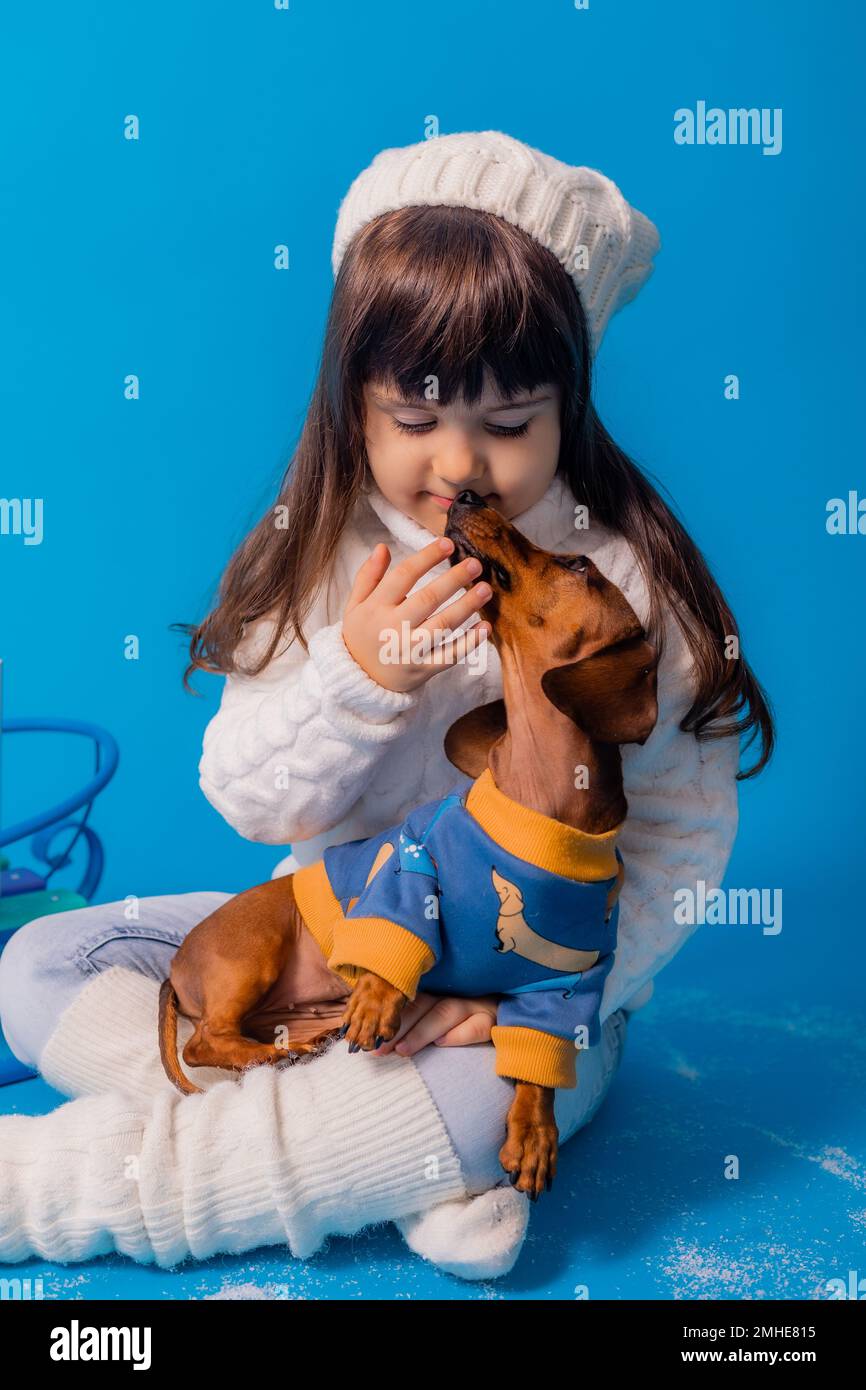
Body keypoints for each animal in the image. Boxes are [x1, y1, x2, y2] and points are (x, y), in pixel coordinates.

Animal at [159, 494, 656, 1200]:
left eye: (578, 564)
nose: (470, 497)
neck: (540, 814)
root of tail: (176, 969)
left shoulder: (566, 982)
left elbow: (538, 1068)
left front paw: (534, 1136)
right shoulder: (410, 867)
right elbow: (395, 937)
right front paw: (378, 1001)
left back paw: (304, 1039)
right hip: (253, 948)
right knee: (204, 1042)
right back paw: (279, 1052)